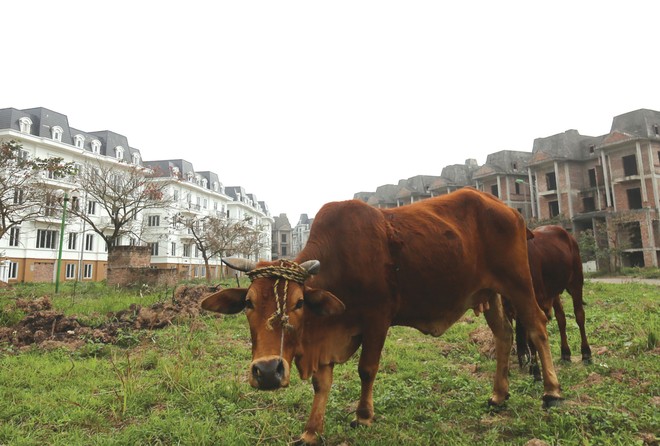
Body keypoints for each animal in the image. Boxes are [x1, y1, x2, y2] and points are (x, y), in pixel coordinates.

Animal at [202, 189, 564, 446]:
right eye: (249, 303)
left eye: (299, 302)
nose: (267, 372)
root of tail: (508, 209)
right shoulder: (327, 334)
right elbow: (322, 382)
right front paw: (310, 431)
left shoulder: (377, 319)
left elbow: (366, 369)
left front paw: (363, 416)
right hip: (490, 293)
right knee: (504, 334)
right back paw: (499, 395)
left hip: (518, 282)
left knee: (538, 327)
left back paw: (552, 392)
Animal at [512, 225, 592, 378]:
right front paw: (534, 368)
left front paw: (537, 371)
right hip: (554, 293)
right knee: (561, 318)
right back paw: (565, 353)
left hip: (576, 282)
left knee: (579, 315)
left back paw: (586, 353)